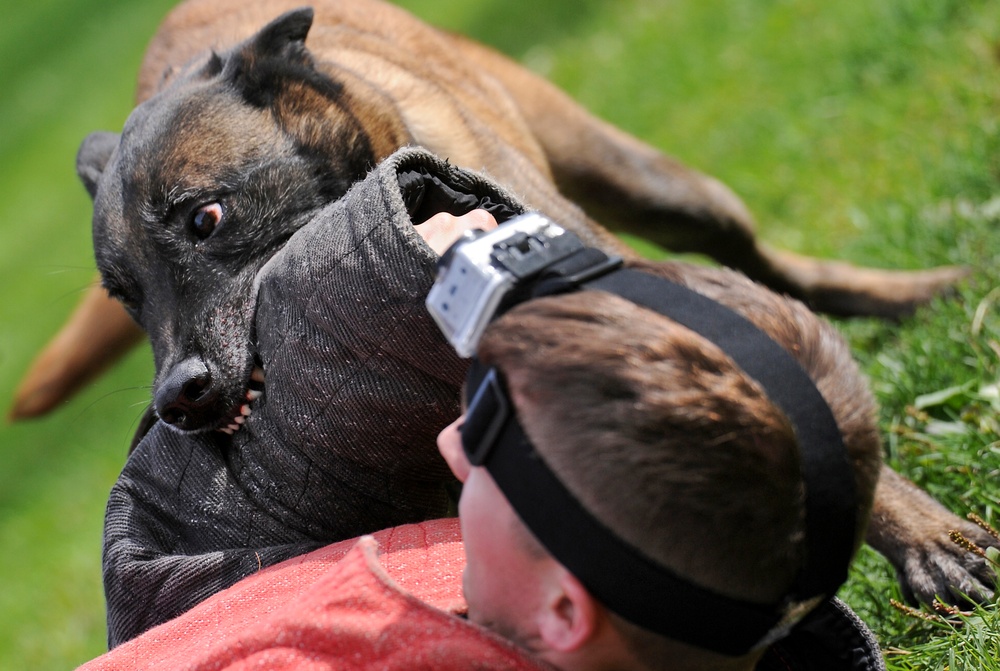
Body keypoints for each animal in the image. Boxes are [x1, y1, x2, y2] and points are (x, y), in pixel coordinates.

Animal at [9, 0, 992, 608]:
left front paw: (922, 536)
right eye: (126, 299)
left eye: (205, 217)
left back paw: (911, 293)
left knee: (759, 256)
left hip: (662, 188)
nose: (177, 395)